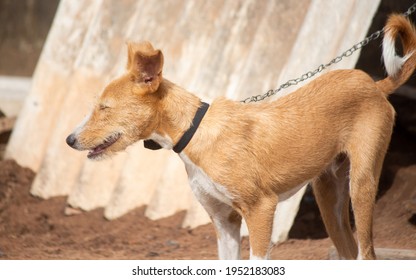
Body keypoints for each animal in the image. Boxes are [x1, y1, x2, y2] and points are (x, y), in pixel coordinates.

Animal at [66, 14, 414, 260]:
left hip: (362, 185)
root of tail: (374, 84)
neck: (194, 132)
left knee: (367, 254)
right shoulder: (225, 222)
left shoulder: (261, 210)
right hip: (329, 196)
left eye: (104, 108)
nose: (69, 140)